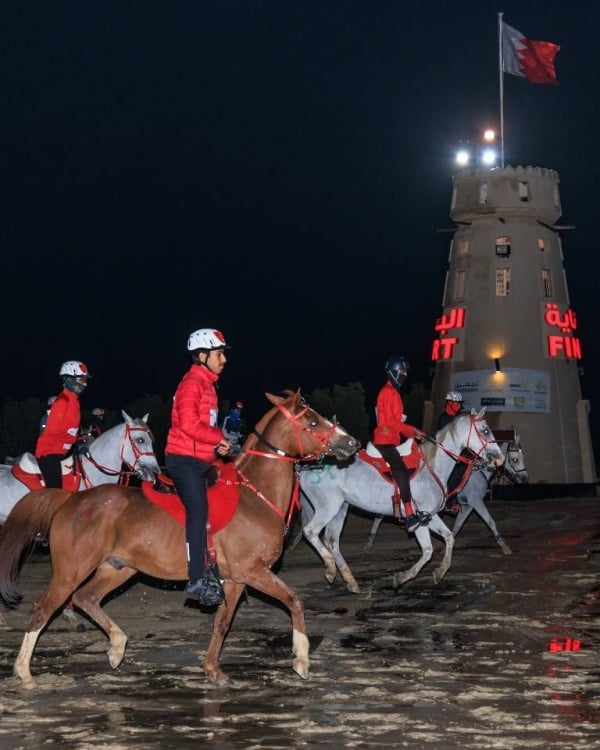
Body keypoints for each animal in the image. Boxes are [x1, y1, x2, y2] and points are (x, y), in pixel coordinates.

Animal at [0, 394, 356, 692]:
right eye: (312, 421)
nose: (350, 442)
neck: (254, 495)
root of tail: (72, 499)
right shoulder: (252, 572)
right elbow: (294, 601)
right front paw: (302, 658)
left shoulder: (236, 580)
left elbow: (222, 623)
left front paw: (212, 668)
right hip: (70, 571)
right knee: (42, 610)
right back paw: (25, 673)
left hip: (119, 568)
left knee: (86, 598)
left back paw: (116, 646)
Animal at [298, 412, 504, 592]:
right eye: (485, 430)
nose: (500, 458)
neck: (431, 466)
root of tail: (308, 468)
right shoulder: (419, 520)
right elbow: (428, 550)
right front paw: (403, 577)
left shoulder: (428, 516)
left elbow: (448, 537)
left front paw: (440, 571)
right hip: (328, 507)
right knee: (311, 532)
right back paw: (330, 570)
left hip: (341, 509)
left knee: (332, 540)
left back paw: (351, 582)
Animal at [364, 432, 528, 556]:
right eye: (515, 459)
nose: (524, 478)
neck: (478, 473)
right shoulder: (476, 502)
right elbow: (490, 522)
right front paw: (504, 546)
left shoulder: (468, 506)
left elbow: (458, 525)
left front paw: (447, 545)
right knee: (380, 516)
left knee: (379, 515)